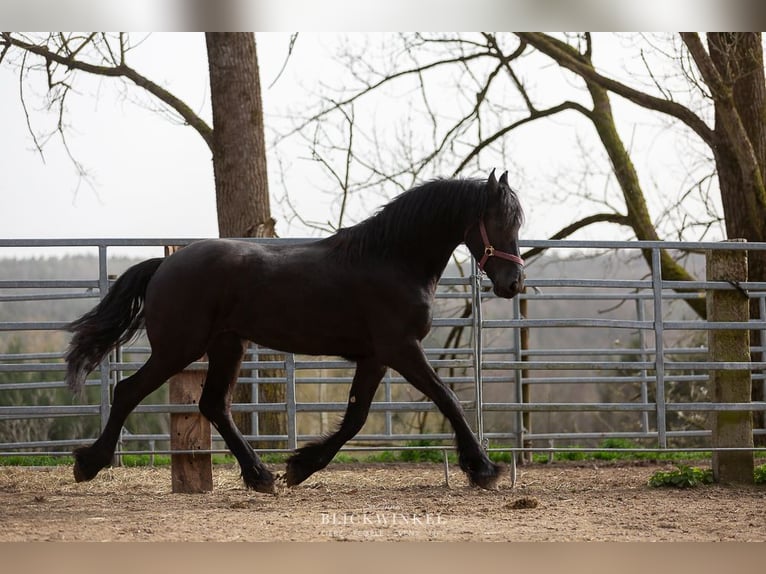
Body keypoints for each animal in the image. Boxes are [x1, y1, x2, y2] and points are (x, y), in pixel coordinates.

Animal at [66, 169, 524, 492]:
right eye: (501, 222)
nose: (513, 283)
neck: (392, 259)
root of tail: (165, 264)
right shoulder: (401, 349)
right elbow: (448, 400)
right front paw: (484, 468)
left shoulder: (375, 358)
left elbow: (356, 417)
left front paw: (300, 466)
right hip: (179, 348)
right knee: (129, 391)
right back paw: (88, 463)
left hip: (226, 346)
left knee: (214, 405)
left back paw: (260, 476)